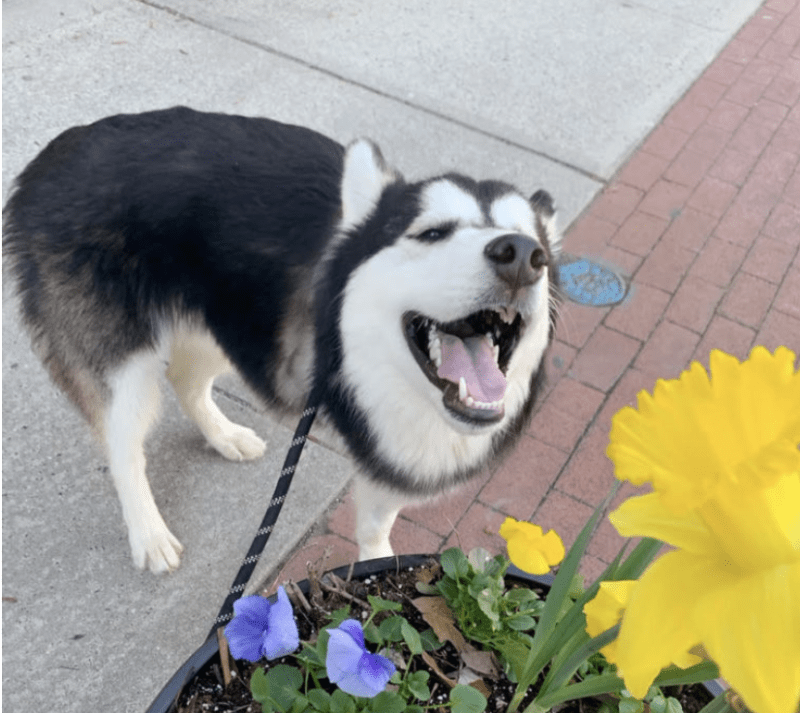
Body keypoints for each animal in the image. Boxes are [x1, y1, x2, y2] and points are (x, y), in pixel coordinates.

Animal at [3, 107, 560, 572]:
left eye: (538, 248)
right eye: (432, 233)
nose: (521, 255)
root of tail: (52, 156)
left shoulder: (392, 451)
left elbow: (376, 526)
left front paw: (379, 571)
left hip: (232, 316)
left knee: (186, 380)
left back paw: (223, 435)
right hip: (124, 366)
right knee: (122, 445)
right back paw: (148, 532)